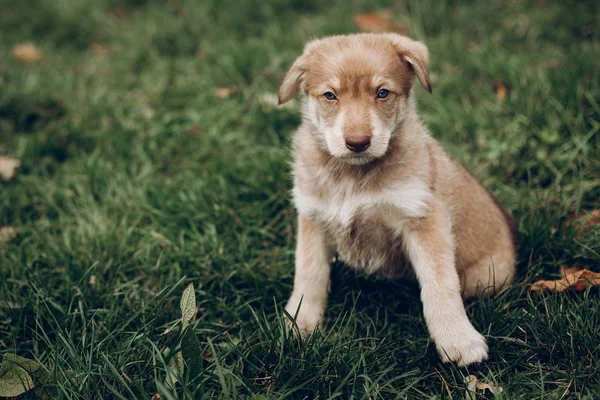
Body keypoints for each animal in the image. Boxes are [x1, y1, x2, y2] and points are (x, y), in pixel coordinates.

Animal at [276, 33, 516, 366]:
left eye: (382, 93)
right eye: (330, 95)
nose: (358, 142)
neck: (354, 176)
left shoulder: (423, 218)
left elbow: (440, 284)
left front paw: (458, 340)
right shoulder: (313, 217)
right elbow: (309, 275)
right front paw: (299, 324)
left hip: (487, 277)